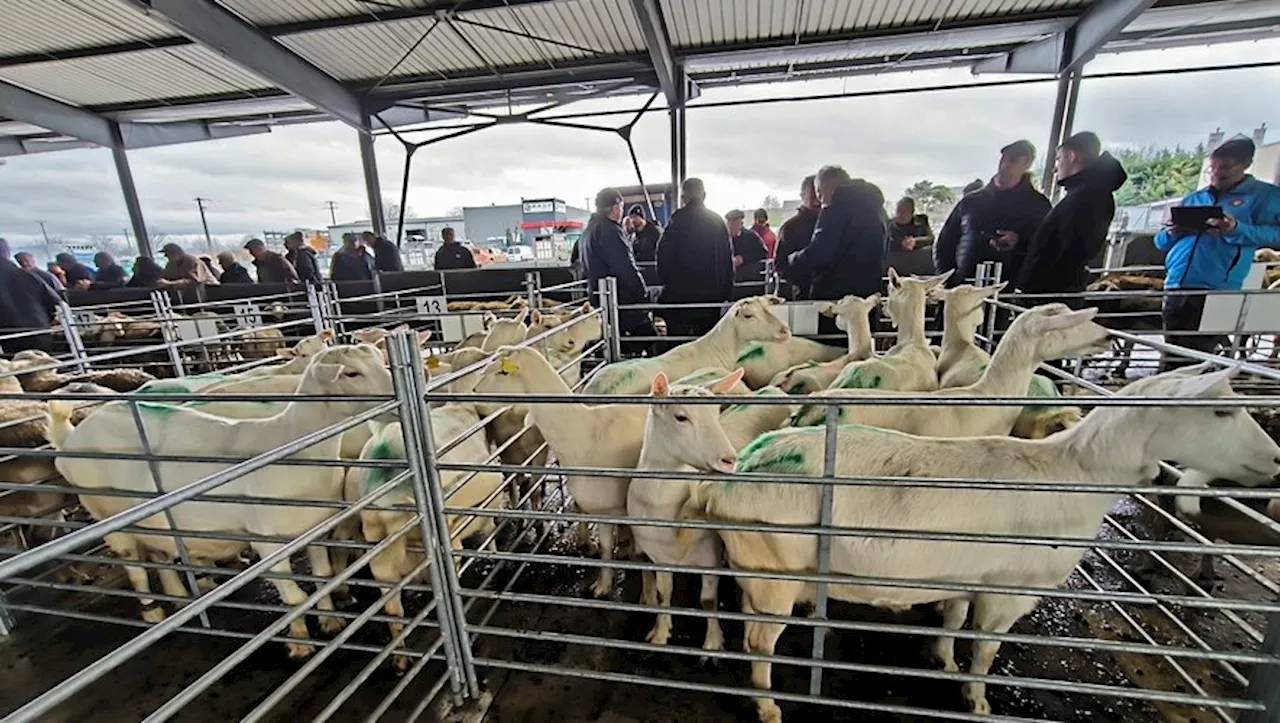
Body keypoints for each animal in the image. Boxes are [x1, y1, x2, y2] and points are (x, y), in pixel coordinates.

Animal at [49, 342, 391, 660]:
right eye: (351, 373)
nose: (391, 395)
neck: (291, 446)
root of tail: (70, 438)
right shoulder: (266, 543)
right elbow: (293, 597)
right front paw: (299, 642)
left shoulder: (315, 530)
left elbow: (323, 578)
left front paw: (331, 621)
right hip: (108, 519)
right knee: (135, 568)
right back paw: (153, 611)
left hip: (155, 523)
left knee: (161, 556)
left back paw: (178, 597)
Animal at [629, 371, 742, 647]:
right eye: (681, 417)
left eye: (717, 413)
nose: (730, 460)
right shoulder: (658, 556)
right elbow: (664, 592)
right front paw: (660, 631)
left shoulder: (709, 555)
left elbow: (708, 601)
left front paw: (712, 643)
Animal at [686, 365, 1280, 721]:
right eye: (1221, 409)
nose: (1275, 458)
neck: (1072, 474)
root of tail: (731, 479)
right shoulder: (1008, 591)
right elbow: (987, 651)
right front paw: (976, 700)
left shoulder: (965, 577)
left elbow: (952, 623)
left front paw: (944, 662)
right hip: (776, 573)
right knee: (758, 642)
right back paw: (768, 706)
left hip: (756, 567)